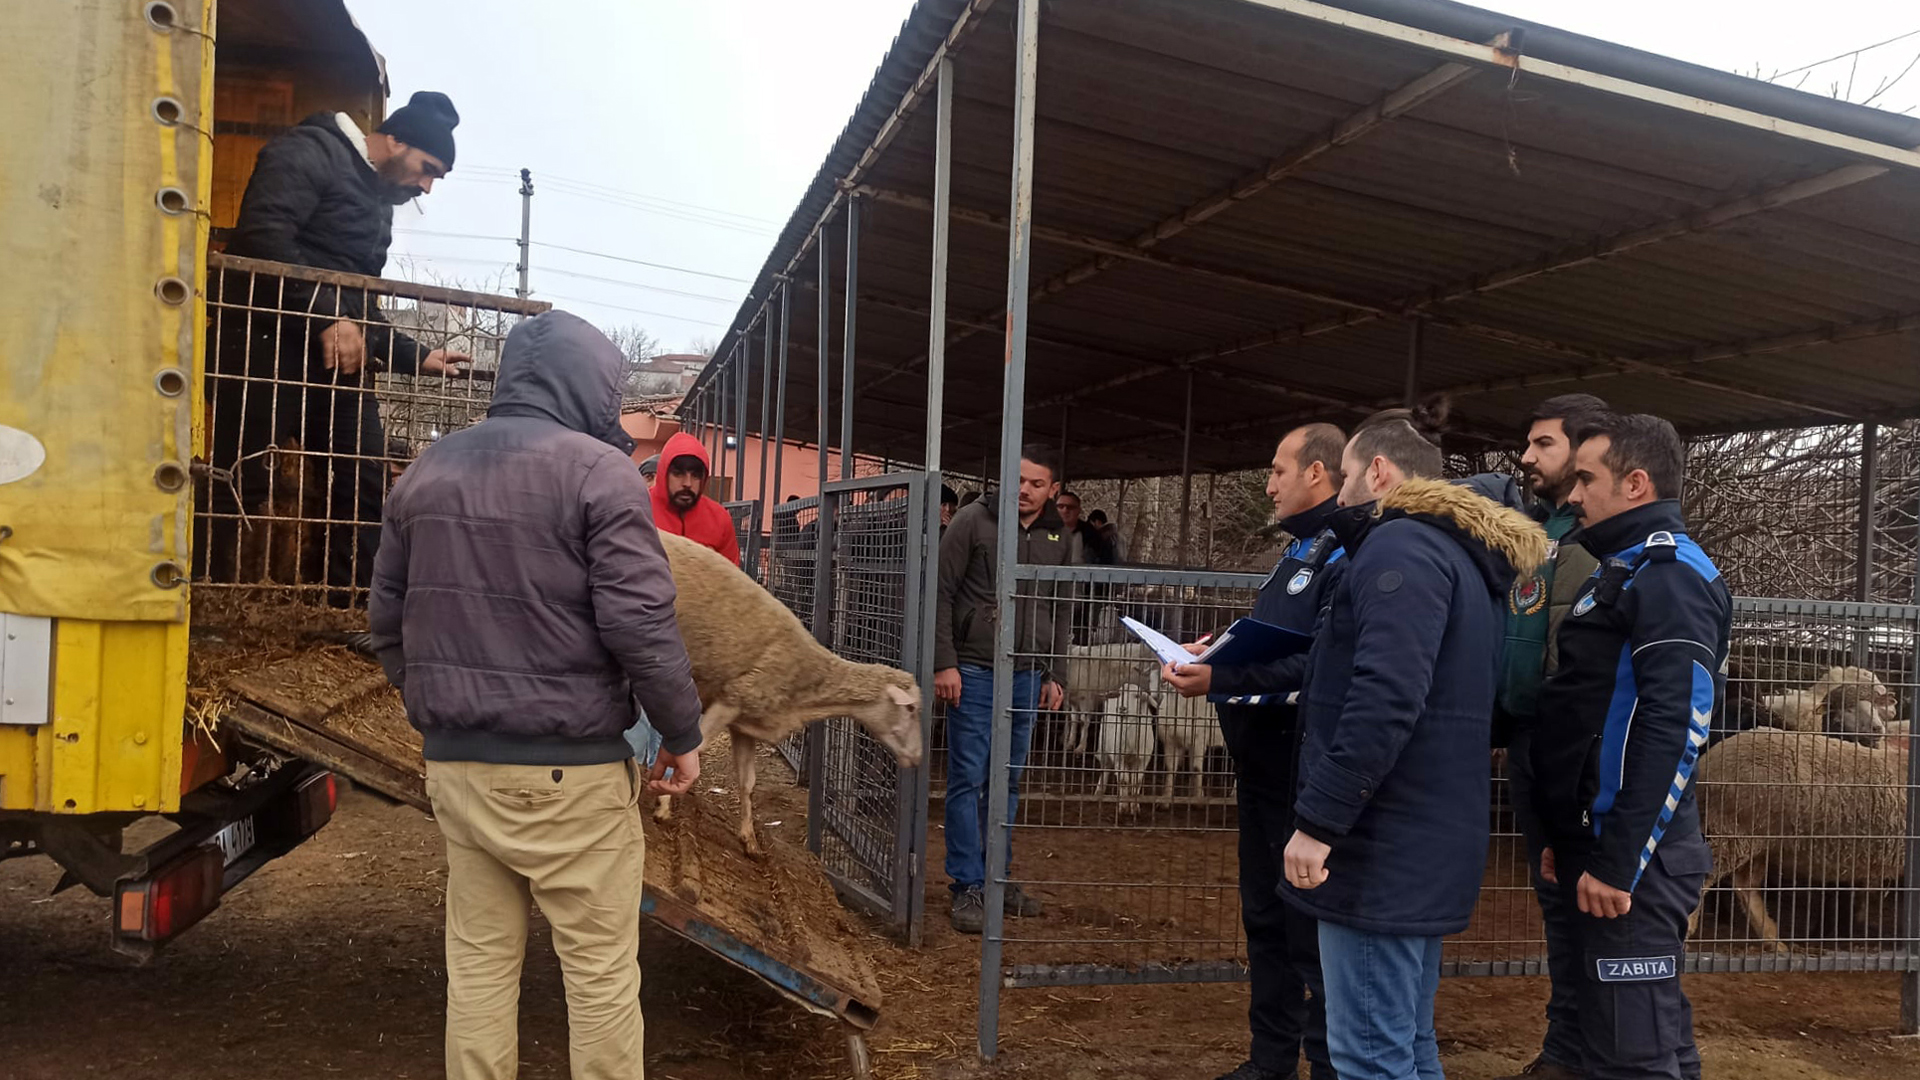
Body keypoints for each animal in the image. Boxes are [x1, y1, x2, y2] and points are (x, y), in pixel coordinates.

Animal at [652, 526, 921, 853]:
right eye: (911, 708)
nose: (918, 757)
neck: (806, 689)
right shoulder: (732, 697)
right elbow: (694, 750)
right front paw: (664, 805)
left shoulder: (745, 721)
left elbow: (747, 781)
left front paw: (750, 840)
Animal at [1697, 722, 1904, 949]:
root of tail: (1707, 763)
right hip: (1734, 832)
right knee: (1707, 877)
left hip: (1758, 842)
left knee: (1745, 886)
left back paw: (1775, 941)